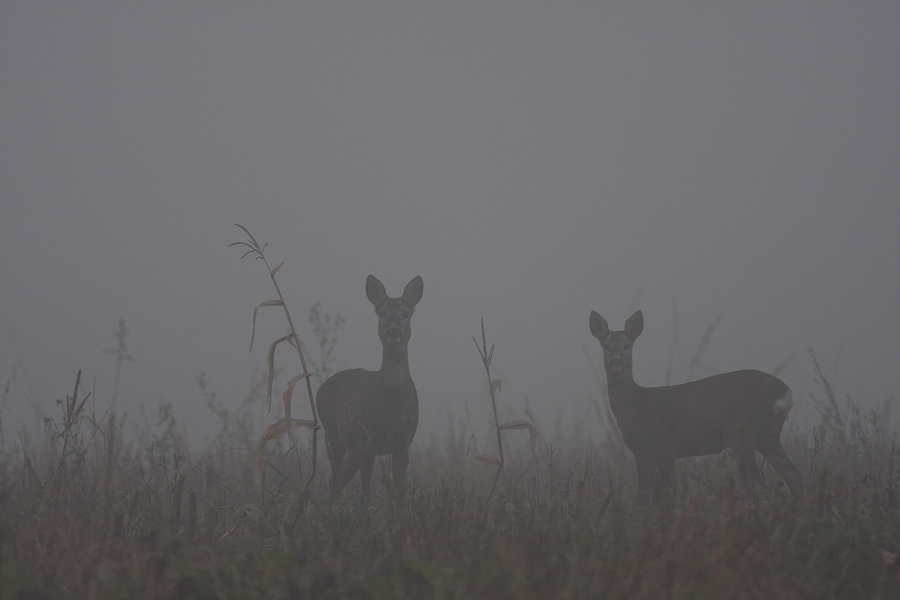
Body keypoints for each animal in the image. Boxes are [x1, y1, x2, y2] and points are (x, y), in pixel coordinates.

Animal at [316, 275, 423, 503]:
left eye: (405, 313)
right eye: (382, 313)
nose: (393, 330)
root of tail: (321, 388)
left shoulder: (404, 442)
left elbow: (400, 493)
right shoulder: (368, 440)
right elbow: (365, 492)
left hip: (352, 445)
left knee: (336, 481)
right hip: (333, 433)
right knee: (335, 480)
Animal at [589, 310, 804, 506]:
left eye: (627, 345)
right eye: (606, 345)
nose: (616, 361)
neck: (634, 407)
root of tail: (785, 392)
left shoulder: (648, 446)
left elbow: (643, 497)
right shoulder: (667, 453)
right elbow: (669, 493)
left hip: (742, 432)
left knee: (757, 483)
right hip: (767, 434)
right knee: (792, 473)